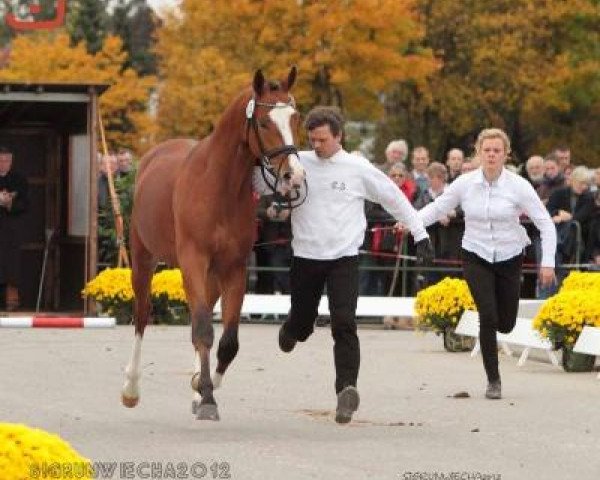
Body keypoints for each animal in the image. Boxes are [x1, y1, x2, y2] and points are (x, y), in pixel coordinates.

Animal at [122, 67, 304, 420]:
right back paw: (131, 389)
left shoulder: (233, 268)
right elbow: (205, 330)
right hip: (143, 258)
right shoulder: (193, 260)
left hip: (211, 275)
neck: (218, 184)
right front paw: (206, 395)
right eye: (265, 122)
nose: (294, 176)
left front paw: (202, 387)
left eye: (295, 118)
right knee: (143, 314)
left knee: (198, 318)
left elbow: (226, 340)